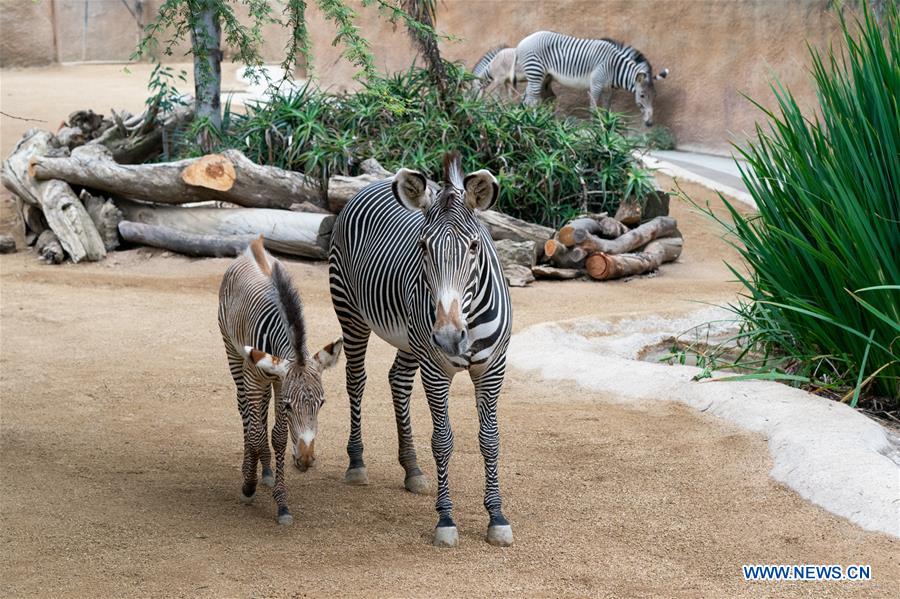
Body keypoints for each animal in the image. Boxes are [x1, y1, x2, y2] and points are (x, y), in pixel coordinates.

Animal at [219, 237, 344, 528]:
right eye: (289, 406)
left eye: (322, 404)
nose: (306, 460)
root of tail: (255, 245)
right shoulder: (256, 376)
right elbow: (255, 431)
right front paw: (249, 484)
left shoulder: (278, 380)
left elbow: (278, 436)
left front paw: (281, 501)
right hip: (233, 353)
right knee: (245, 413)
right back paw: (251, 467)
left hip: (268, 380)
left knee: (261, 413)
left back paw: (265, 468)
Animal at [328, 151, 512, 548]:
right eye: (423, 246)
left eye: (474, 247)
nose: (447, 336)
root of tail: (376, 180)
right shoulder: (435, 368)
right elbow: (442, 441)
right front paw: (446, 520)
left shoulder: (492, 368)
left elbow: (490, 440)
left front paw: (497, 516)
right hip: (351, 313)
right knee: (356, 381)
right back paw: (357, 463)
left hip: (410, 340)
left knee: (397, 380)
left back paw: (411, 468)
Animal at [512, 30, 668, 125]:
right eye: (642, 95)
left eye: (655, 95)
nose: (650, 124)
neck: (614, 67)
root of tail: (522, 41)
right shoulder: (596, 85)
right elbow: (593, 108)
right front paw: (595, 131)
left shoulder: (608, 90)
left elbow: (606, 110)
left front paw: (607, 129)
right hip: (535, 71)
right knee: (532, 99)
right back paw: (530, 123)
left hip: (542, 76)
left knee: (527, 97)